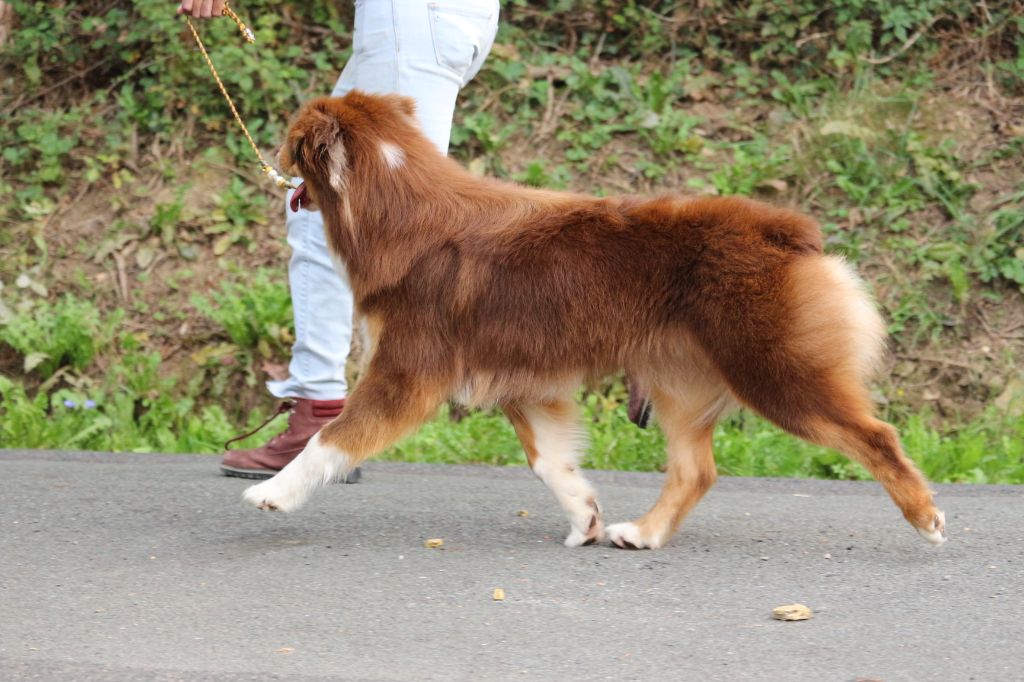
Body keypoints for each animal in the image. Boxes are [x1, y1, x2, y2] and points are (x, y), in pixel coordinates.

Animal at [243, 90, 946, 548]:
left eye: (292, 140)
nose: (269, 157)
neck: (396, 197)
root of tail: (786, 230)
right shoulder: (524, 381)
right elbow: (550, 461)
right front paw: (583, 517)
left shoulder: (406, 374)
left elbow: (332, 438)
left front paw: (274, 491)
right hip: (678, 380)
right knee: (696, 468)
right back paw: (643, 533)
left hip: (775, 370)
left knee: (875, 435)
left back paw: (927, 519)